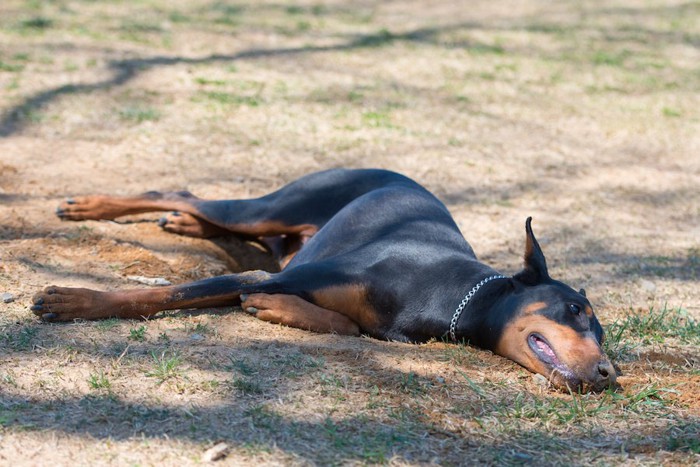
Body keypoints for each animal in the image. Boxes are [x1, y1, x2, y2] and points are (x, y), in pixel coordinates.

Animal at [32, 170, 616, 394]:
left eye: (604, 332)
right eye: (574, 310)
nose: (611, 373)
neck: (449, 292)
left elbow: (348, 326)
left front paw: (276, 309)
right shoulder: (271, 275)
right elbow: (160, 293)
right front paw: (72, 300)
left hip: (280, 239)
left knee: (211, 220)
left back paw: (182, 227)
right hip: (276, 207)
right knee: (181, 193)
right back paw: (92, 207)